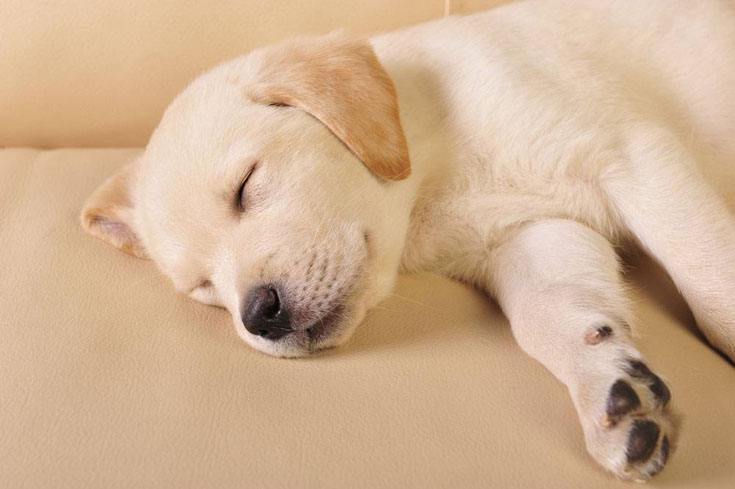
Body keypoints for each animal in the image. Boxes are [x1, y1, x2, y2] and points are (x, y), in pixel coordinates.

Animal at [80, 0, 735, 480]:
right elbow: (551, 316)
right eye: (203, 287)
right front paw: (609, 388)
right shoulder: (533, 232)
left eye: (246, 185)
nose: (259, 315)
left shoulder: (633, 154)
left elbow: (710, 280)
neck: (439, 152)